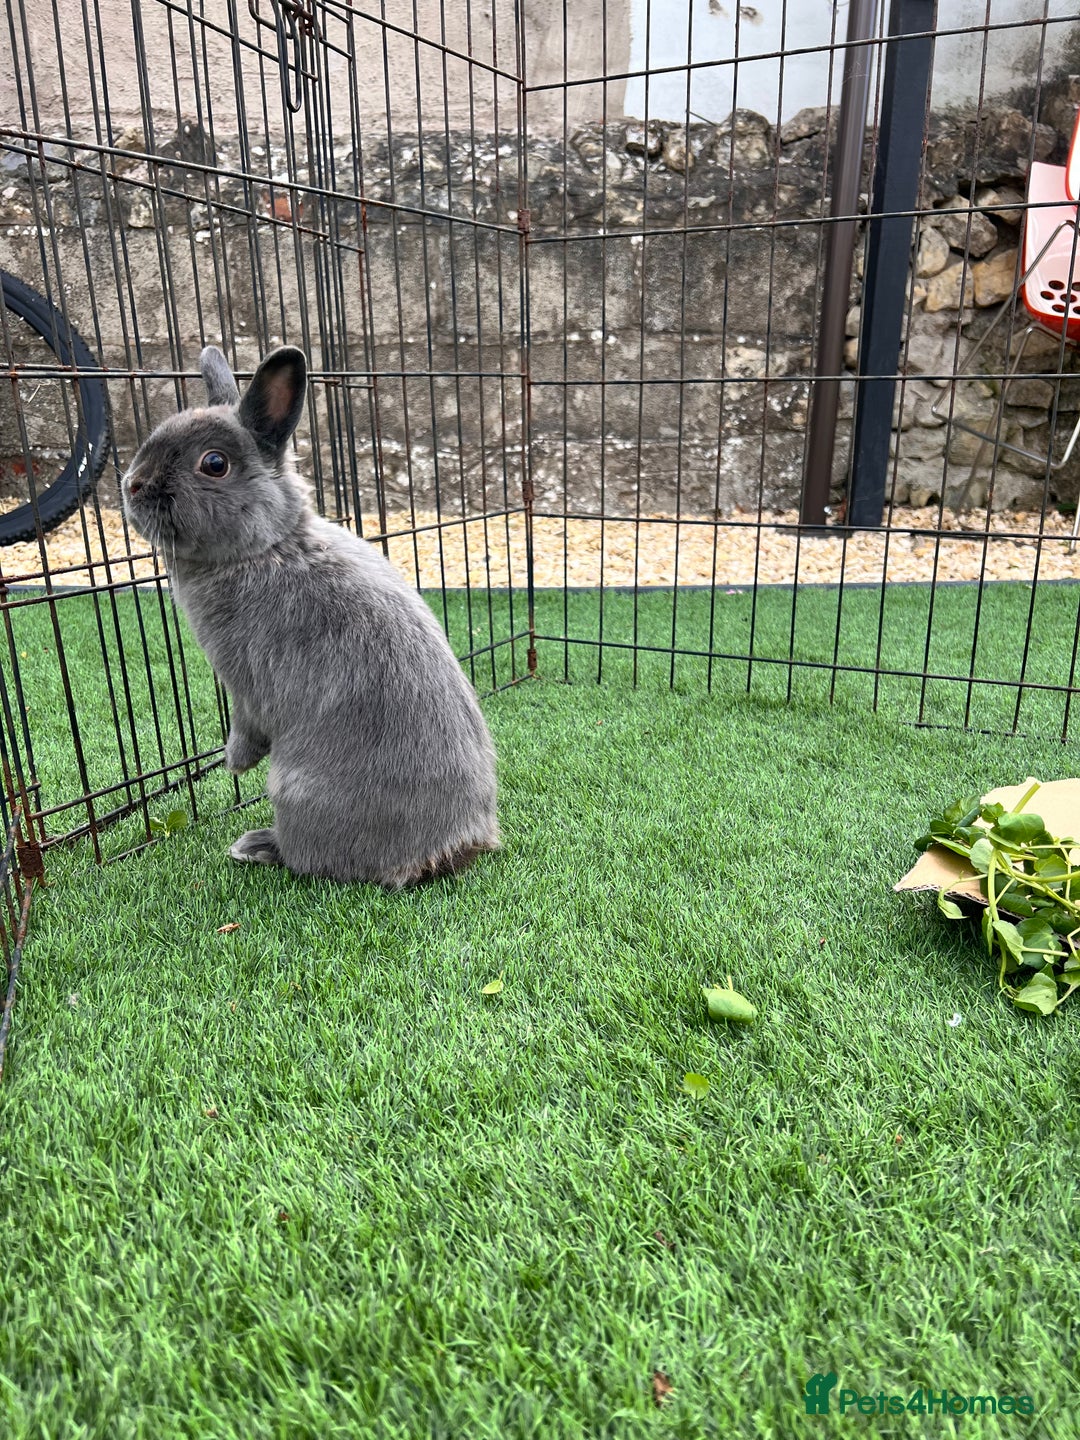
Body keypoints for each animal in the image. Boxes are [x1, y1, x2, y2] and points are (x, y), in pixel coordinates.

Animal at [121, 344, 499, 888]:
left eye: (214, 464)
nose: (132, 485)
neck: (266, 548)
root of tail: (447, 852)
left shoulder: (246, 682)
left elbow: (246, 726)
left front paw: (233, 765)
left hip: (293, 792)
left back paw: (255, 846)